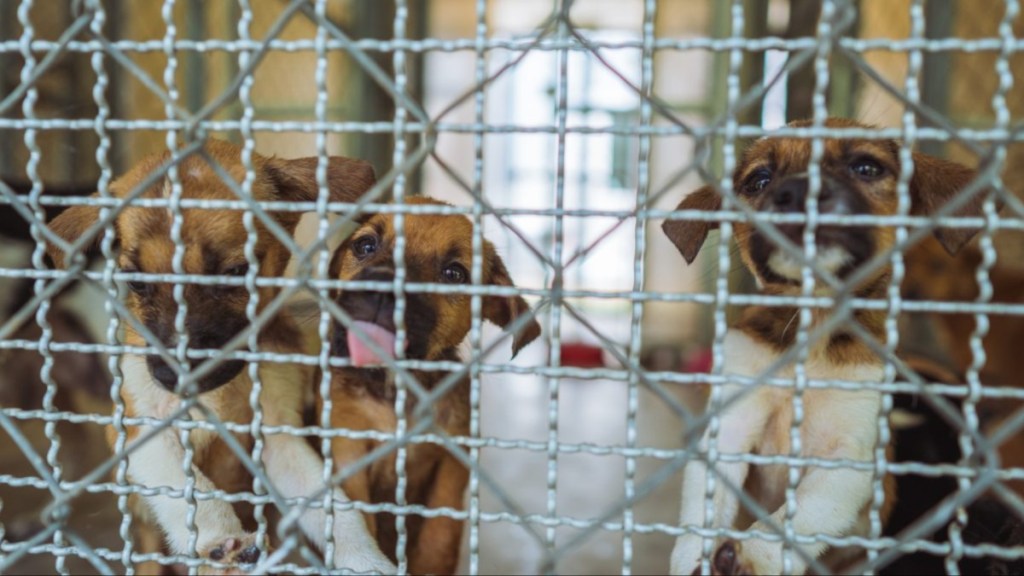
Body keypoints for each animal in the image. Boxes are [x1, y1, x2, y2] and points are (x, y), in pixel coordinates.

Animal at [46, 141, 393, 569]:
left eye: (235, 273)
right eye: (136, 282)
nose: (173, 376)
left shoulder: (278, 434)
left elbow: (335, 509)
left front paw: (367, 560)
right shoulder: (139, 423)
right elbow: (187, 485)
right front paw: (220, 537)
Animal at [325, 194, 544, 569]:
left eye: (454, 274)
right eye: (365, 245)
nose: (383, 290)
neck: (396, 390)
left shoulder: (452, 463)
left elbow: (439, 537)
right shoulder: (348, 450)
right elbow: (361, 518)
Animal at [659, 117, 987, 573]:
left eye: (866, 168)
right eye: (759, 180)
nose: (799, 192)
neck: (813, 330)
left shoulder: (850, 459)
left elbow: (800, 514)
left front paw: (754, 555)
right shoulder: (730, 425)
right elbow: (702, 509)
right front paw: (695, 556)